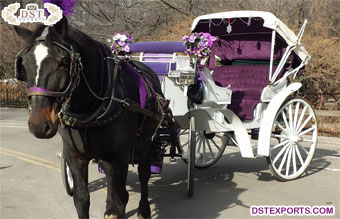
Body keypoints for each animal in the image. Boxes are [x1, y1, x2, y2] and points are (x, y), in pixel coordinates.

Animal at [14, 16, 166, 218]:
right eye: (23, 65)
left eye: (63, 62)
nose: (39, 125)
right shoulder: (74, 154)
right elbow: (82, 199)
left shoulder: (120, 155)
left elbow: (120, 198)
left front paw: (120, 208)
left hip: (146, 141)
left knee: (143, 173)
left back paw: (143, 209)